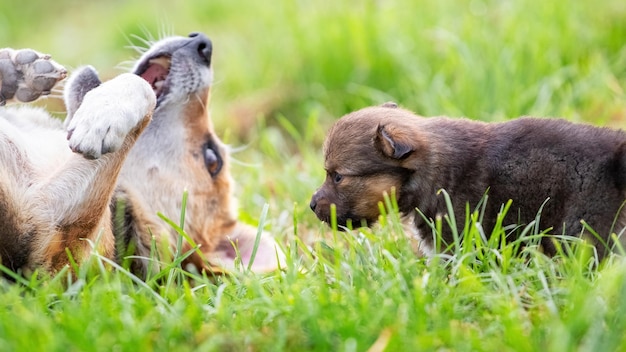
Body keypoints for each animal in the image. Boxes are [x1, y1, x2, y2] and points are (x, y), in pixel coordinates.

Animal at [0, 31, 282, 276]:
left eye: (212, 160)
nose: (203, 44)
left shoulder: (58, 242)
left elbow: (142, 89)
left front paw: (104, 115)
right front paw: (15, 72)